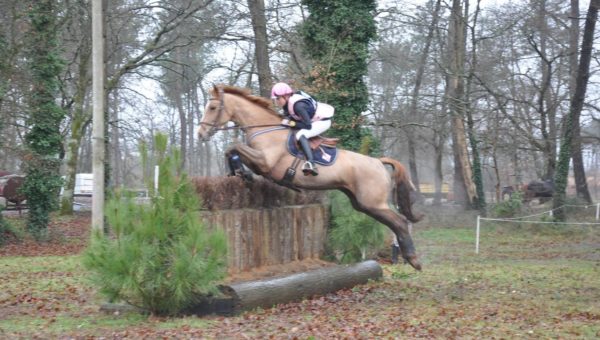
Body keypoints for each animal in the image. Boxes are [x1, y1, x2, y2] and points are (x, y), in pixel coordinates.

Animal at [197, 85, 422, 270]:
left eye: (213, 107)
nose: (200, 134)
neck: (265, 129)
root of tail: (378, 162)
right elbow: (231, 150)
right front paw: (239, 172)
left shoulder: (265, 162)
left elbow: (234, 147)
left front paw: (242, 172)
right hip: (362, 204)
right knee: (394, 222)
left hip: (373, 202)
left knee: (400, 221)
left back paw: (413, 259)